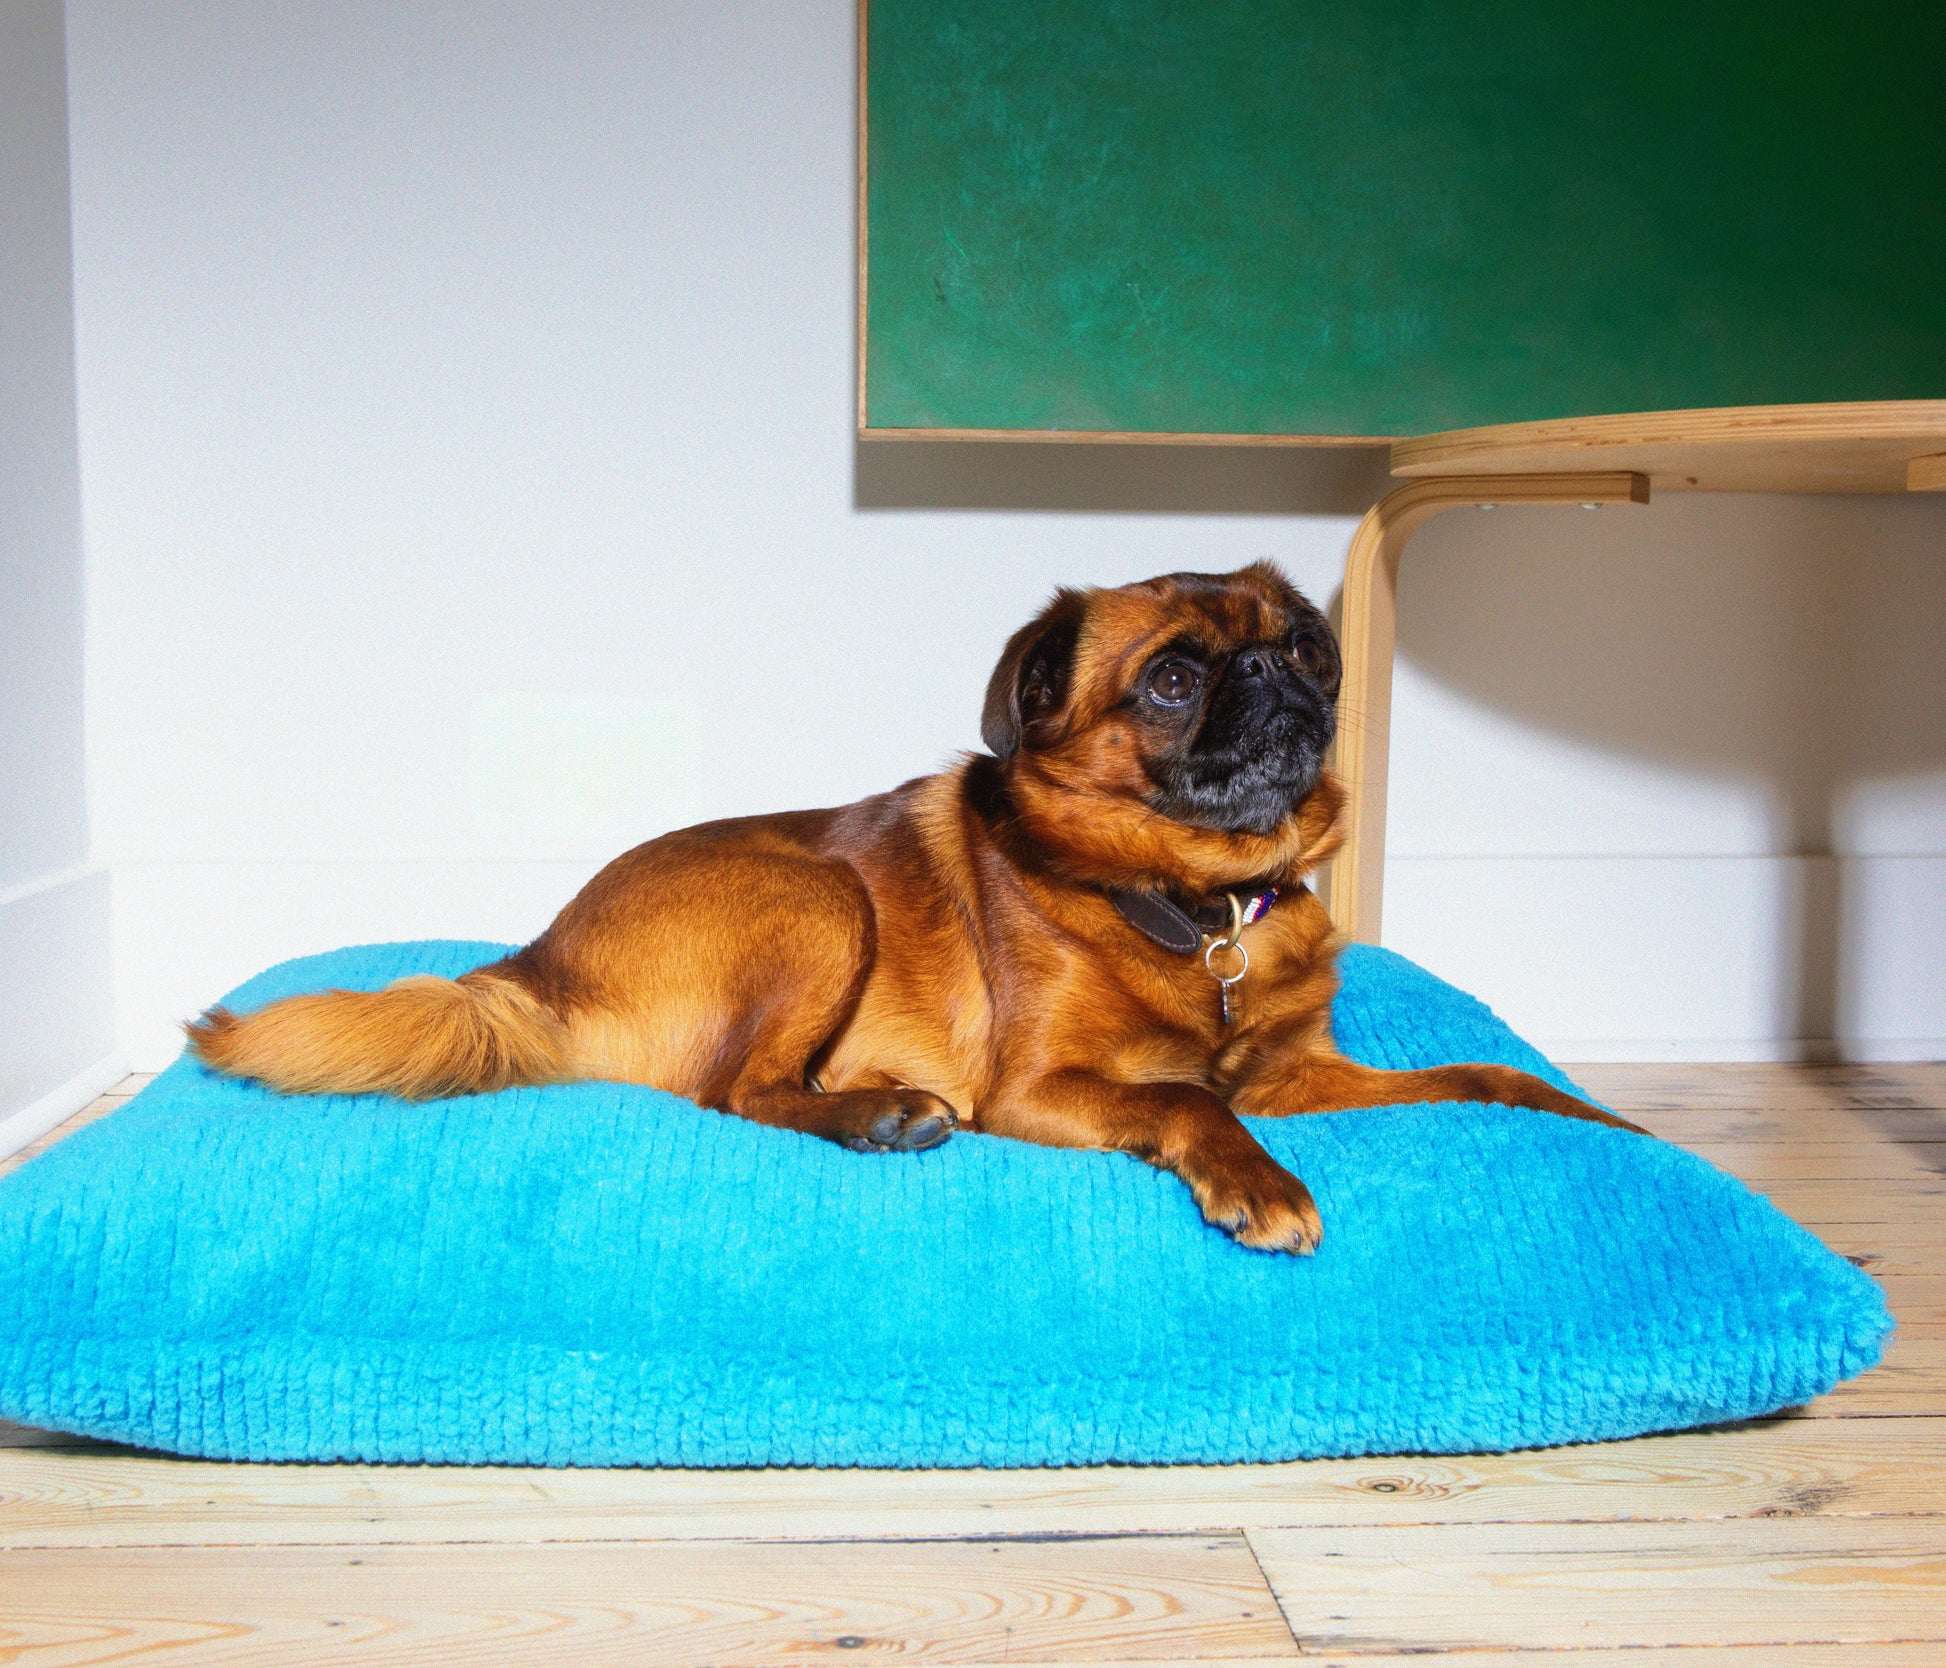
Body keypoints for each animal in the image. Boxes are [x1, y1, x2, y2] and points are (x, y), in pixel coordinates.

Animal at [189, 560, 1634, 1245]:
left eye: (1306, 652)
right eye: (1172, 681)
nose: (1283, 682)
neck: (1201, 912)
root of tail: (531, 965)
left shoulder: (1293, 1076)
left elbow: (1479, 1077)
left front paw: (1600, 1121)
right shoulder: (1038, 1091)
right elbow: (1185, 1103)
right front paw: (1251, 1184)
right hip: (823, 899)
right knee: (736, 1096)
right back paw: (878, 1115)